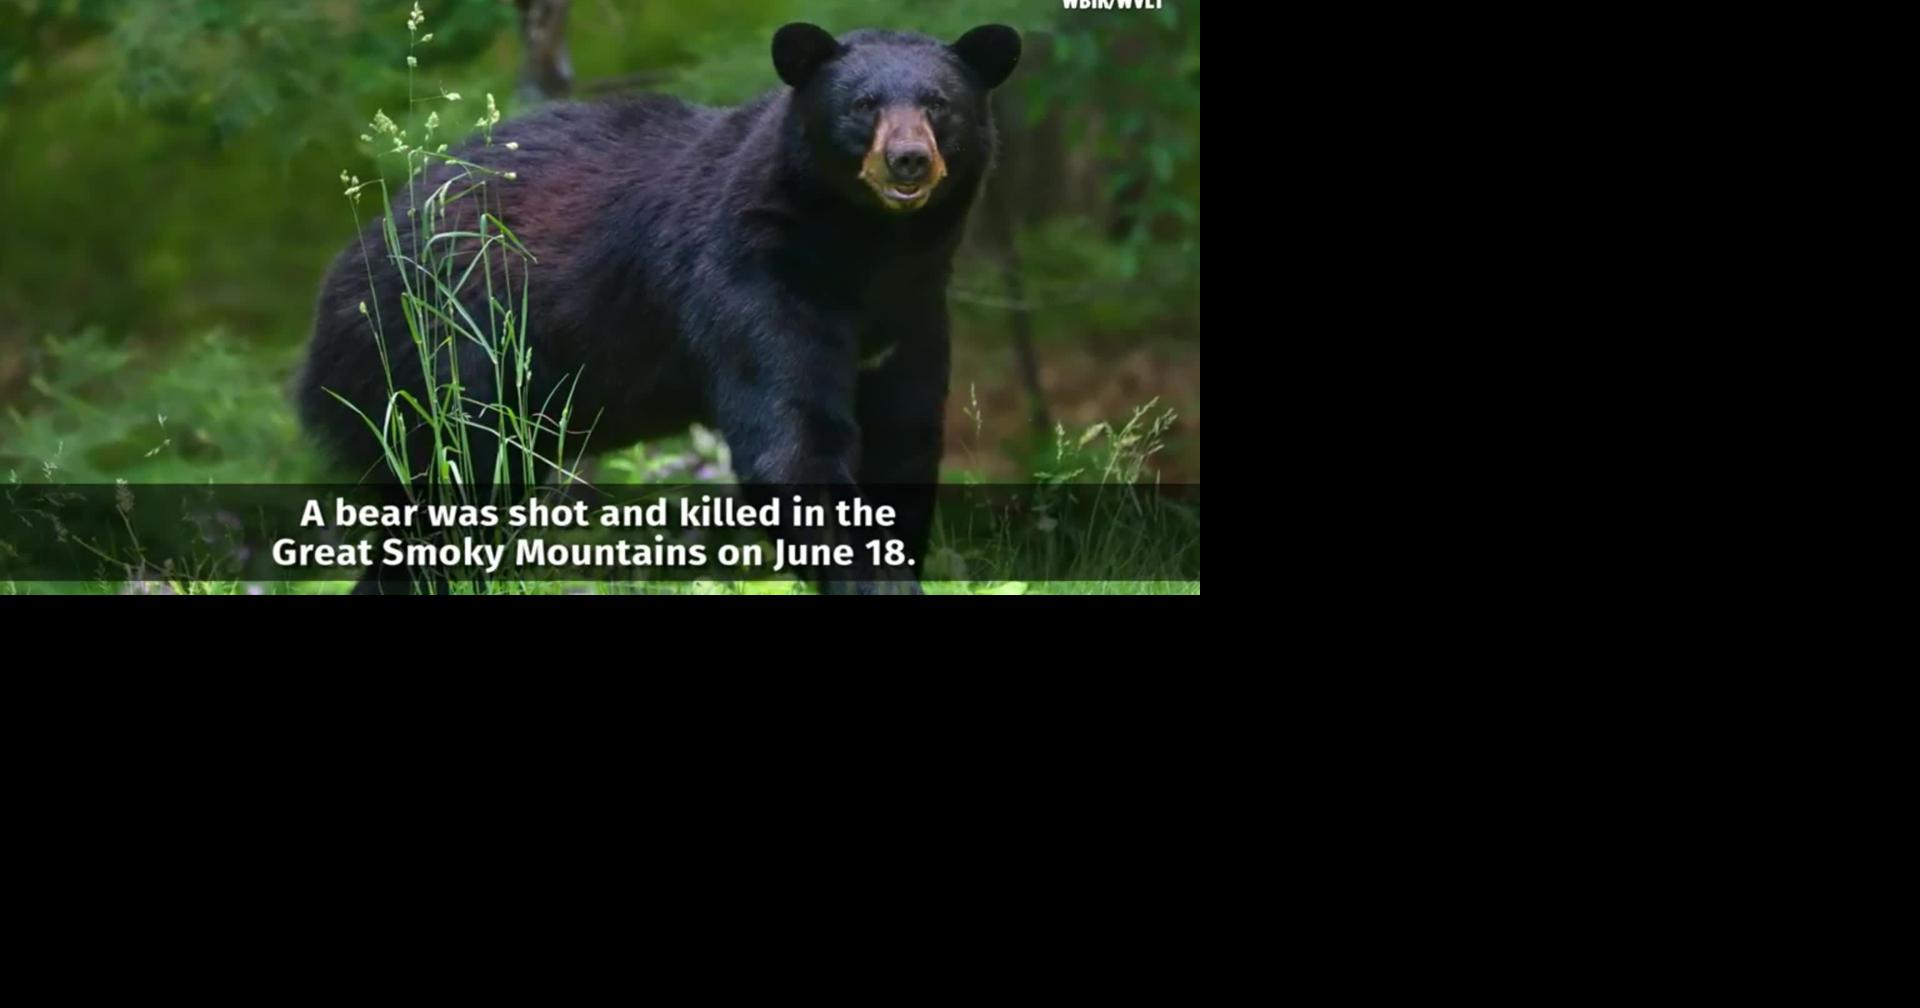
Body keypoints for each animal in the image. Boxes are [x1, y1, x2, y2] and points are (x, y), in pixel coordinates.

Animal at [292, 22, 1023, 594]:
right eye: (863, 105)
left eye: (939, 105)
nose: (908, 160)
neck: (867, 251)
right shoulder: (751, 278)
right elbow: (794, 437)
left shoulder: (912, 309)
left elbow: (905, 437)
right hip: (442, 354)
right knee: (452, 485)